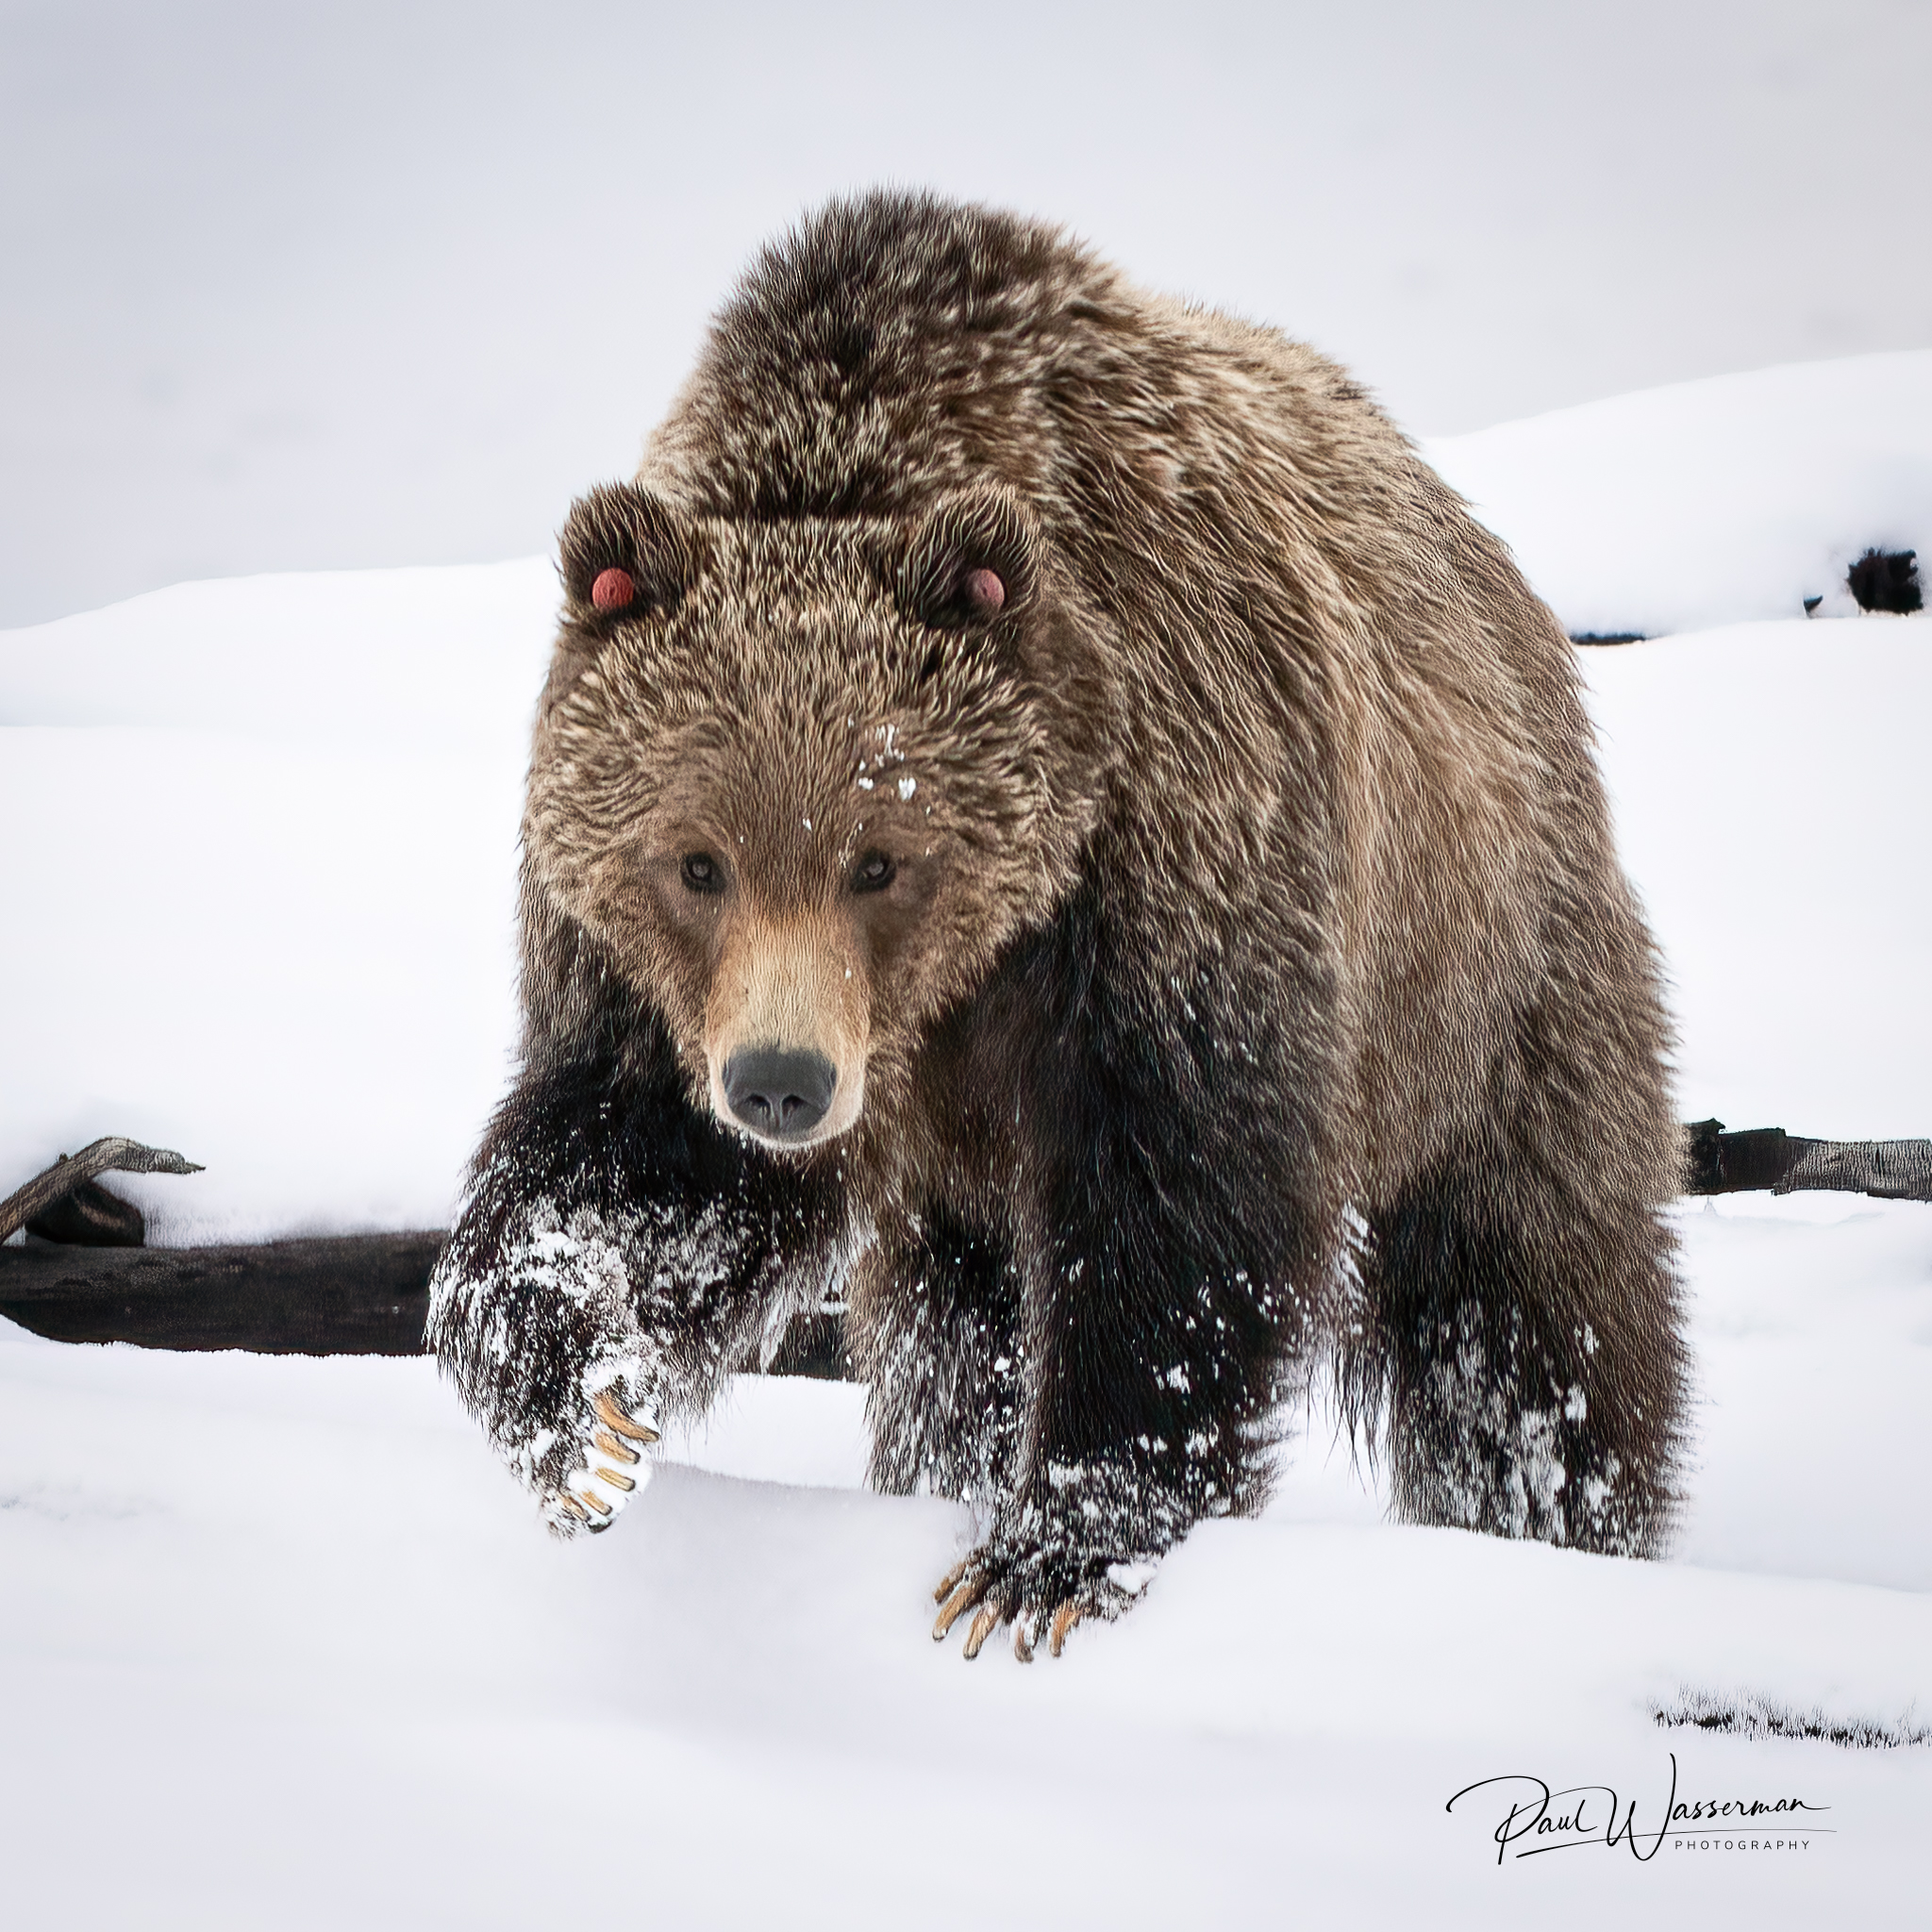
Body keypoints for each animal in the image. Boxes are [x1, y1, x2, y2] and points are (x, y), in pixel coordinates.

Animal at [427, 190, 1688, 1662]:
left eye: (880, 859)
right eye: (696, 862)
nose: (783, 1085)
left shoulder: (1175, 865)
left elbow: (1178, 1218)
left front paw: (1046, 1552)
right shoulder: (661, 991)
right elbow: (628, 1166)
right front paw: (581, 1415)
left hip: (1486, 976)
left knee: (1530, 1313)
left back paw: (1562, 1519)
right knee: (948, 1345)